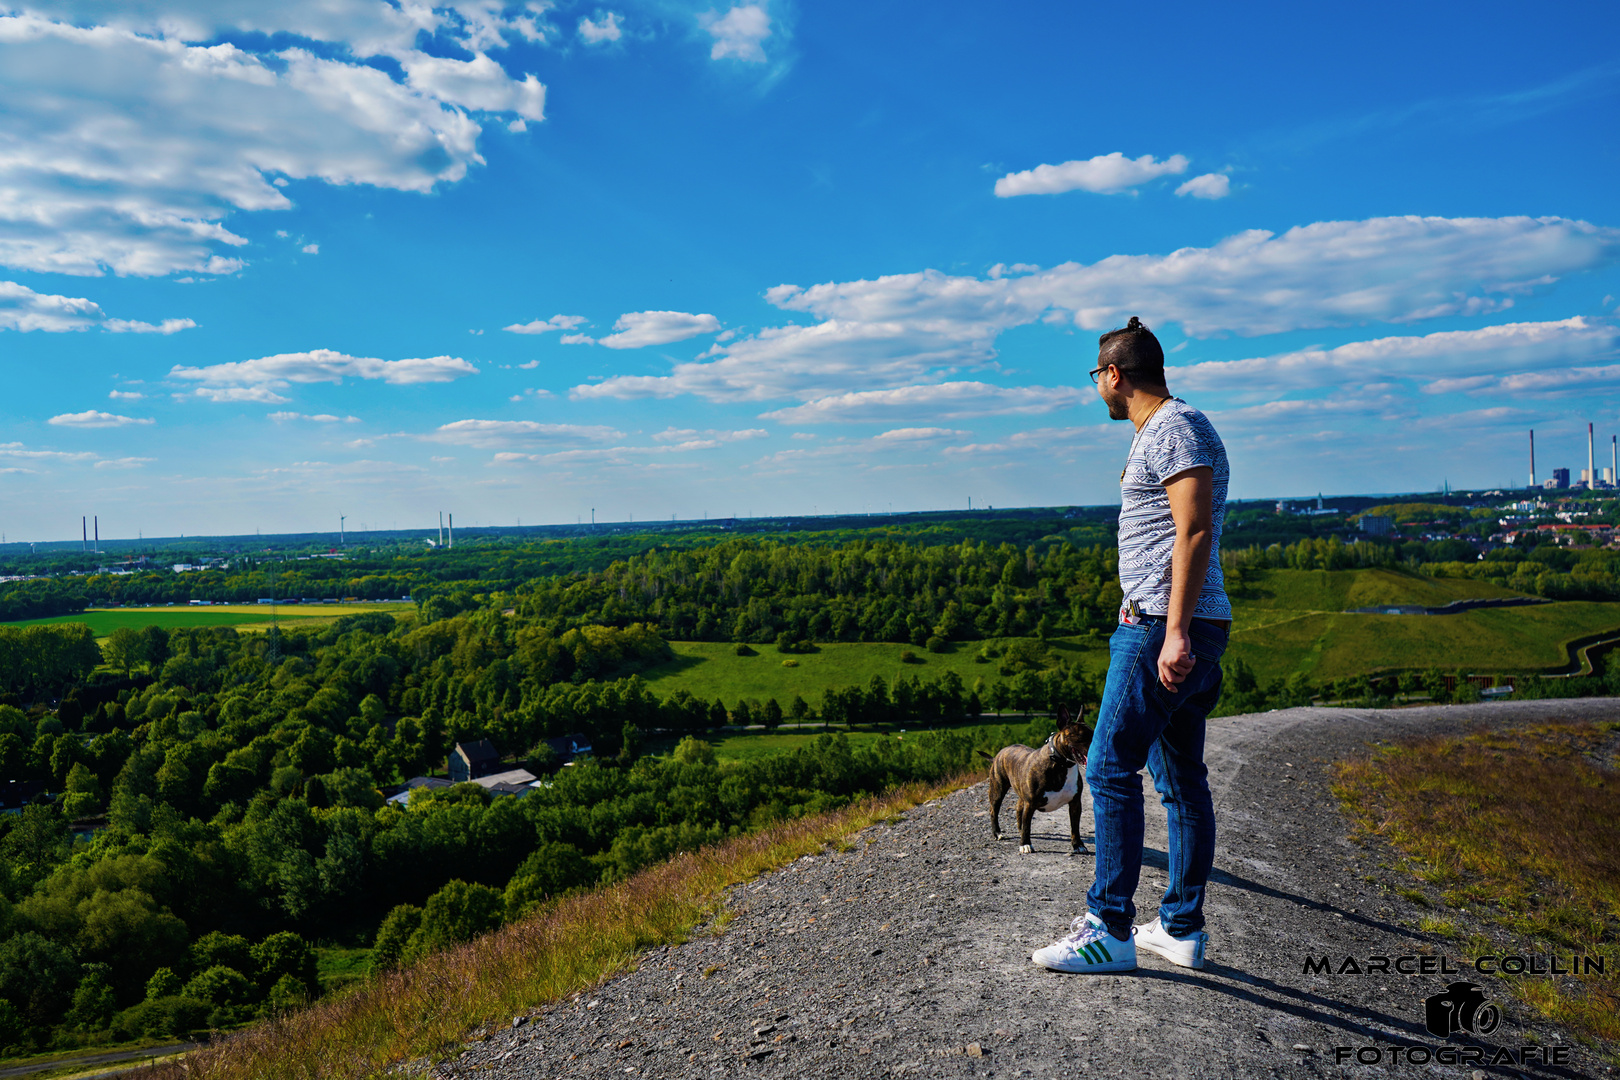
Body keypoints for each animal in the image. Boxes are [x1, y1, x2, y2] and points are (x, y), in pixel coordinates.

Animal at [972, 705, 1088, 854]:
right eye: (1082, 736)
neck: (1061, 765)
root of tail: (998, 754)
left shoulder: (1075, 803)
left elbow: (1075, 826)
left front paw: (1078, 845)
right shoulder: (1030, 803)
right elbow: (1027, 825)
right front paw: (1025, 844)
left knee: (1018, 807)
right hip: (997, 790)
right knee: (994, 810)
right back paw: (997, 833)